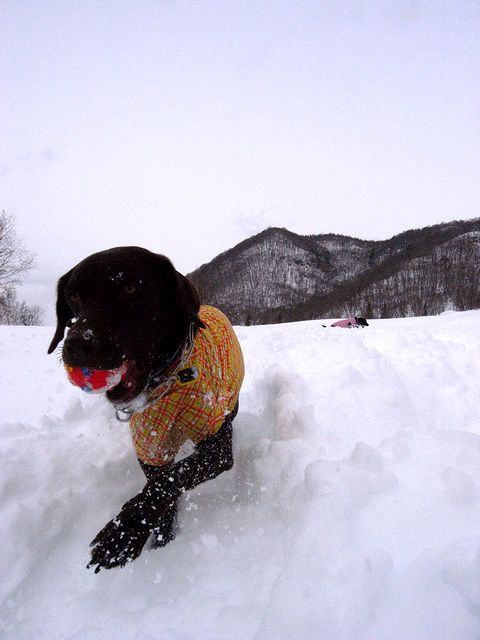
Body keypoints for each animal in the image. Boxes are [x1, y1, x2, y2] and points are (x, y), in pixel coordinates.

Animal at [48, 248, 244, 572]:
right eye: (73, 297)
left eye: (130, 289)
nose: (76, 344)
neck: (167, 384)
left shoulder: (217, 448)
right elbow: (163, 484)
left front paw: (122, 535)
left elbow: (170, 480)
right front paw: (161, 538)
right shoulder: (151, 449)